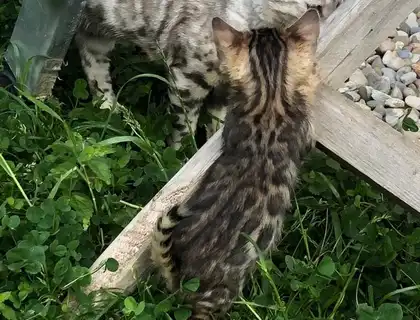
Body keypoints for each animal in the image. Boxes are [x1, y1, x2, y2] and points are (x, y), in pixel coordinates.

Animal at [76, 0, 342, 149]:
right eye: (314, 7)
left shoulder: (224, 91)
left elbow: (218, 122)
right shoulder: (187, 78)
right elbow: (185, 128)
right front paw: (182, 155)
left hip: (98, 35)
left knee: (94, 67)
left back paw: (108, 108)